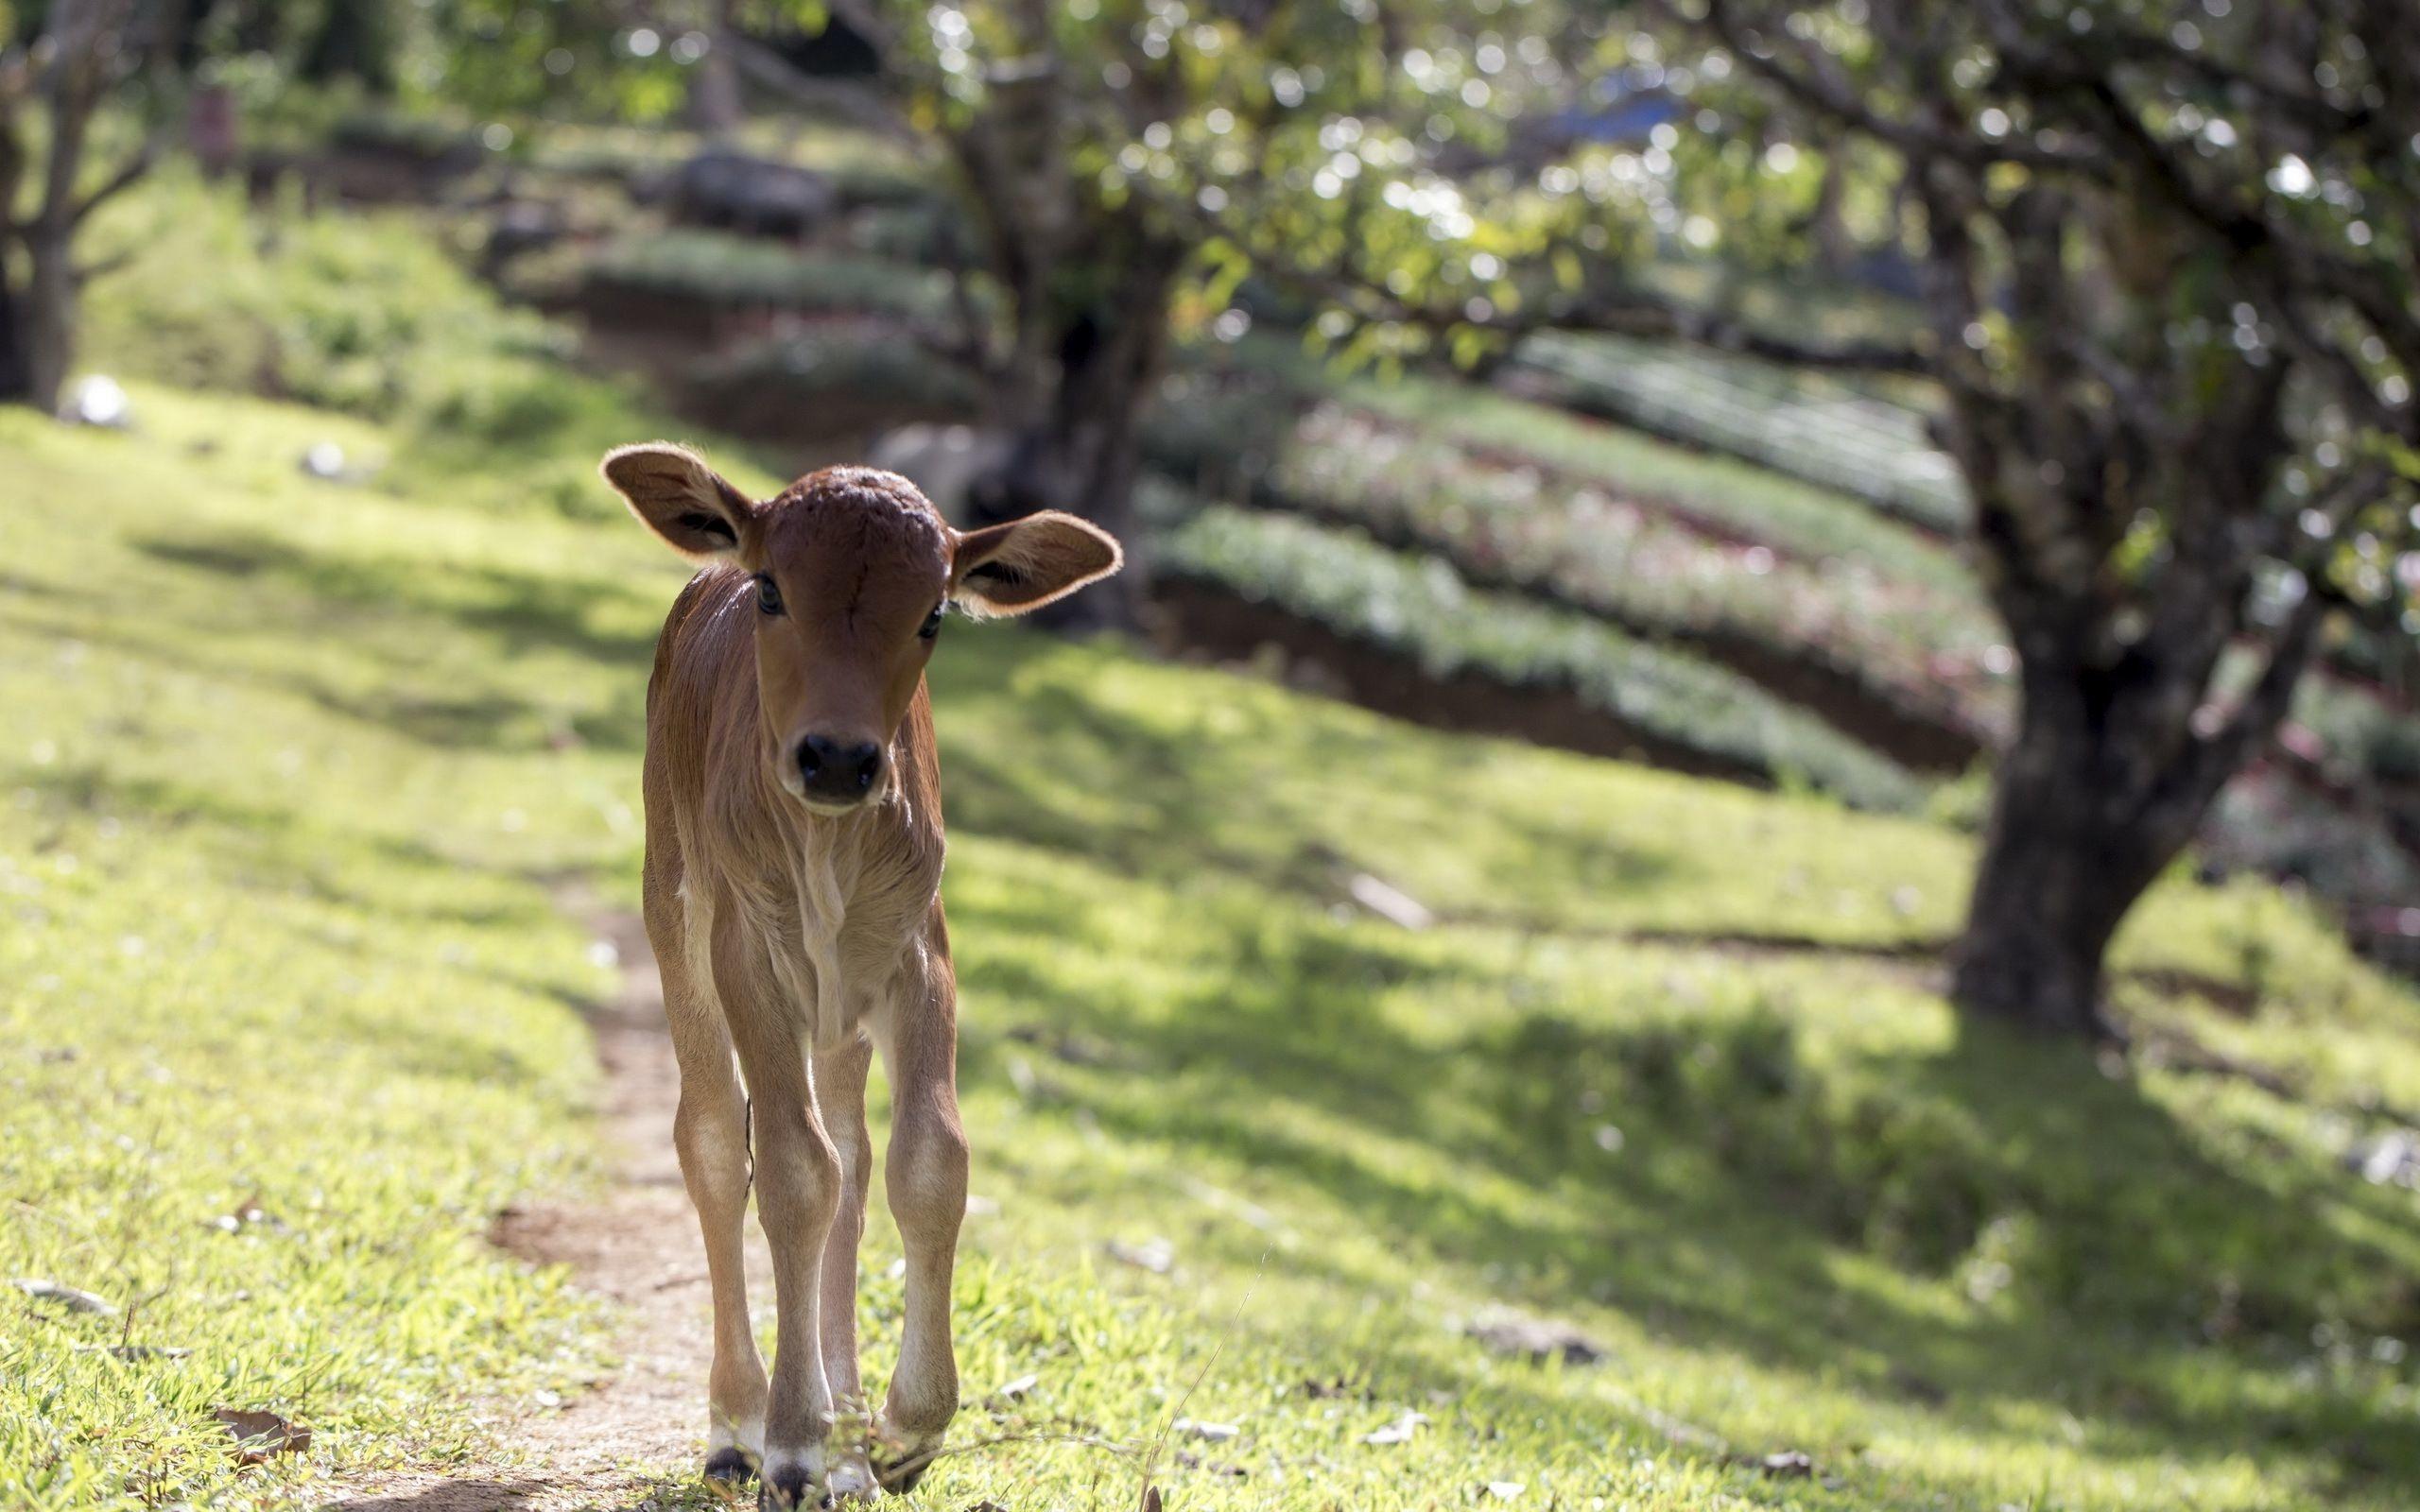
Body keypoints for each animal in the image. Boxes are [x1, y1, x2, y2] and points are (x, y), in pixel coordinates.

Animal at [600, 444, 1122, 1506]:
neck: (829, 849)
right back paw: (738, 1426)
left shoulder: (919, 951)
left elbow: (928, 1161)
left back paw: (845, 1440)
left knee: (851, 1150)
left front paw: (899, 1430)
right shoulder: (749, 955)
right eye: (772, 589)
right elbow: (789, 1171)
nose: (838, 758)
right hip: (674, 910)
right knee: (712, 1139)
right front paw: (794, 1444)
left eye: (932, 615)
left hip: (838, 1010)